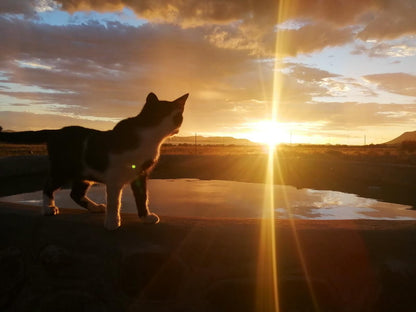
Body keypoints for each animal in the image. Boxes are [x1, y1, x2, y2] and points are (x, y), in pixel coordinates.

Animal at [0, 92, 188, 229]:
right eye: (165, 114)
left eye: (179, 115)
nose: (177, 122)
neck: (150, 138)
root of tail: (55, 131)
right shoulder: (115, 175)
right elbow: (114, 201)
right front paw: (112, 222)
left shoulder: (140, 175)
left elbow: (143, 197)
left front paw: (146, 217)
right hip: (63, 169)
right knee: (48, 186)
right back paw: (48, 208)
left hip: (84, 172)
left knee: (75, 193)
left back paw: (95, 207)